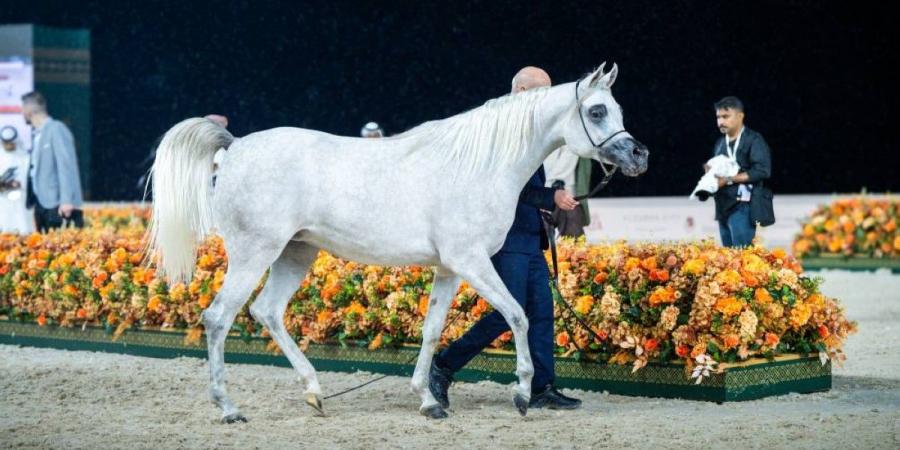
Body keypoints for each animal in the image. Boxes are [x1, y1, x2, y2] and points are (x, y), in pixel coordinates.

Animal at [151, 63, 652, 422]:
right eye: (596, 111)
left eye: (618, 109)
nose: (638, 155)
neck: (480, 165)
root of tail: (233, 146)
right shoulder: (472, 261)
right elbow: (518, 315)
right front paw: (523, 394)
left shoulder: (449, 268)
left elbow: (432, 330)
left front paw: (429, 400)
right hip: (254, 253)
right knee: (218, 318)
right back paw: (229, 409)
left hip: (296, 253)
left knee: (267, 312)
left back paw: (315, 393)